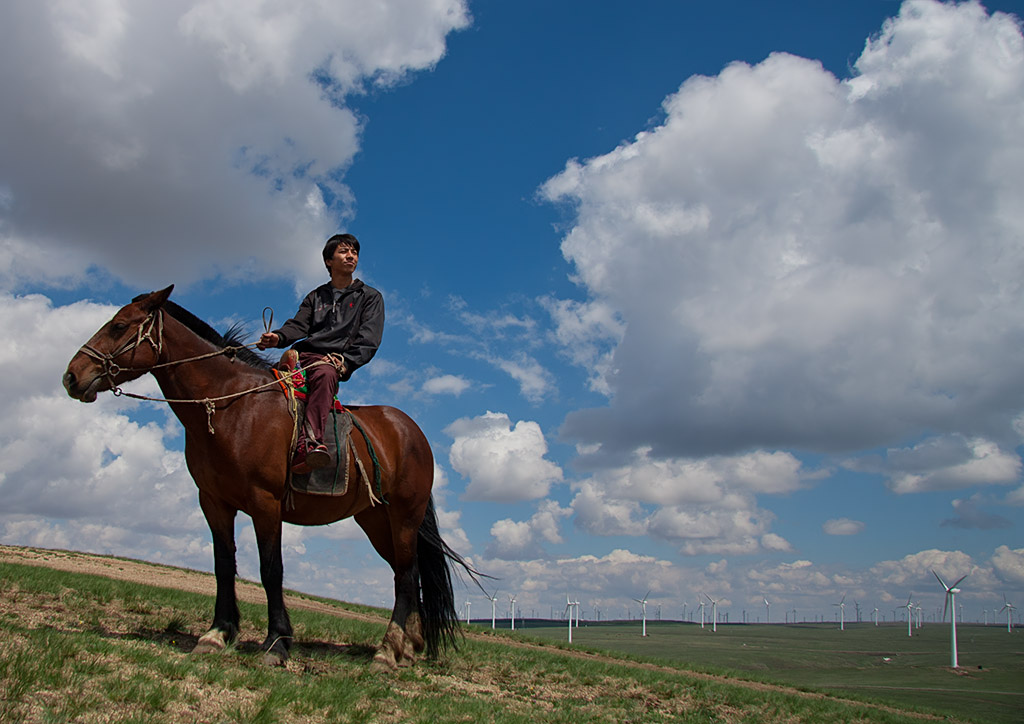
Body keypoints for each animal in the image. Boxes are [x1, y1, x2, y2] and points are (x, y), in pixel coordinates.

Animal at [62, 286, 475, 667]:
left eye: (118, 326)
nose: (71, 376)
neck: (233, 405)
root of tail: (411, 432)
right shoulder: (213, 502)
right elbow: (223, 565)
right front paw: (218, 632)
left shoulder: (266, 503)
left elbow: (270, 569)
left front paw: (276, 642)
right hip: (375, 520)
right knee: (409, 574)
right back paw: (410, 646)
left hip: (404, 517)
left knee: (405, 576)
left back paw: (388, 652)